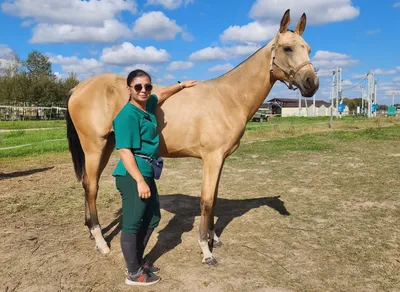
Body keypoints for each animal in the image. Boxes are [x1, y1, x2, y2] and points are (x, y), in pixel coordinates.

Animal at [67, 9, 320, 266]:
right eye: (287, 48)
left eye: (308, 48)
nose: (312, 83)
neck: (229, 97)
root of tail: (78, 88)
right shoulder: (212, 158)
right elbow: (206, 201)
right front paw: (206, 250)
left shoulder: (220, 159)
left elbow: (214, 198)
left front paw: (214, 238)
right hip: (95, 147)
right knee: (92, 187)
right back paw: (101, 242)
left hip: (107, 145)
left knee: (88, 183)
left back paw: (92, 232)